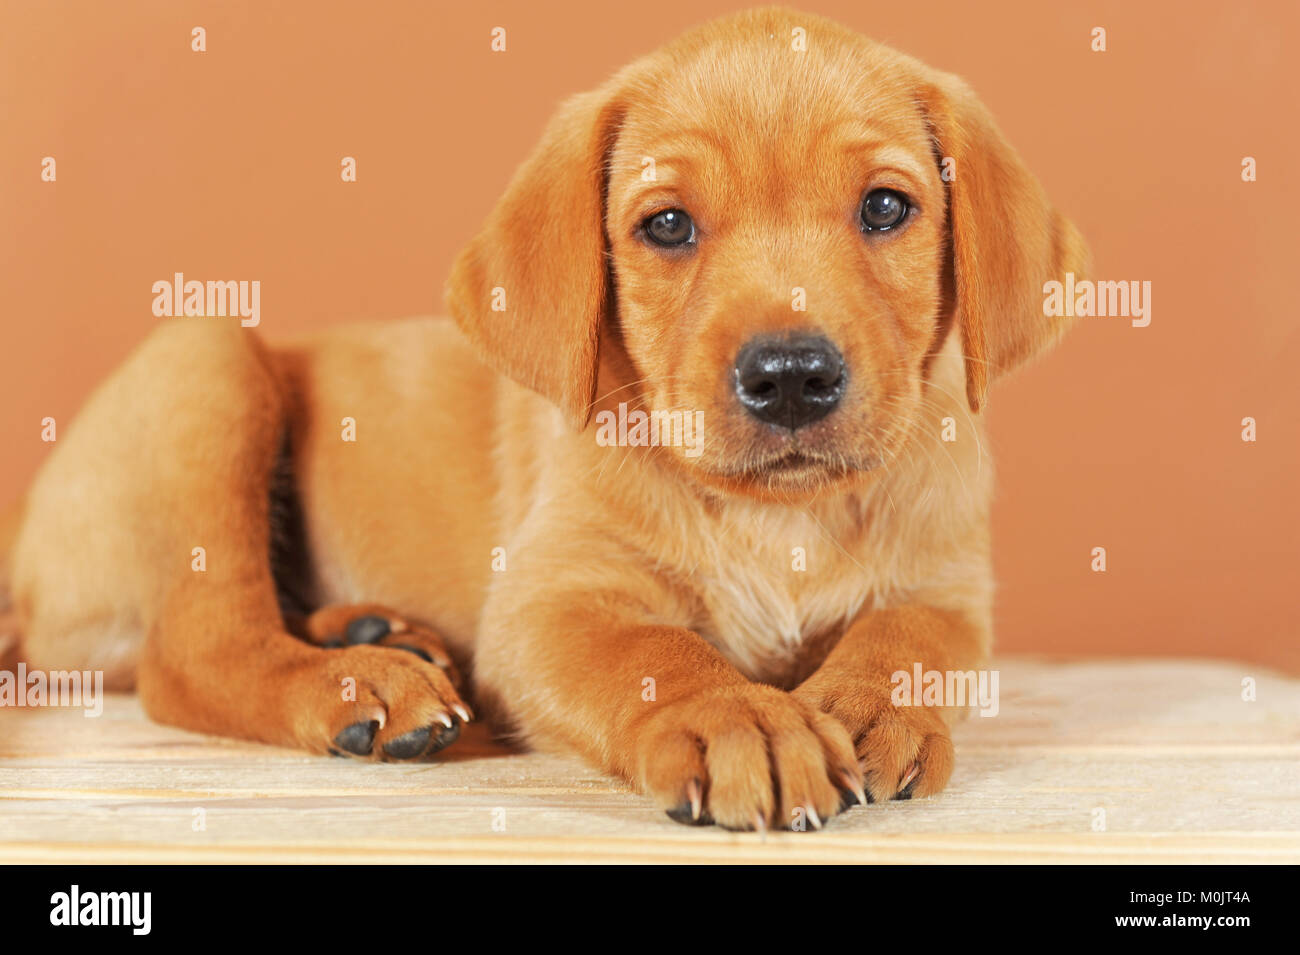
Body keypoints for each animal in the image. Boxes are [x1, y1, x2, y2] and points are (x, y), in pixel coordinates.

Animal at [2, 5, 1086, 831]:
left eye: (886, 208)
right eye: (667, 225)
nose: (788, 377)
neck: (780, 515)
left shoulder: (948, 587)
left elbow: (912, 640)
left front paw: (862, 706)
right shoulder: (548, 597)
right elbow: (655, 656)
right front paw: (742, 718)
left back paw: (377, 629)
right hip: (208, 353)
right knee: (191, 651)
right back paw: (361, 682)